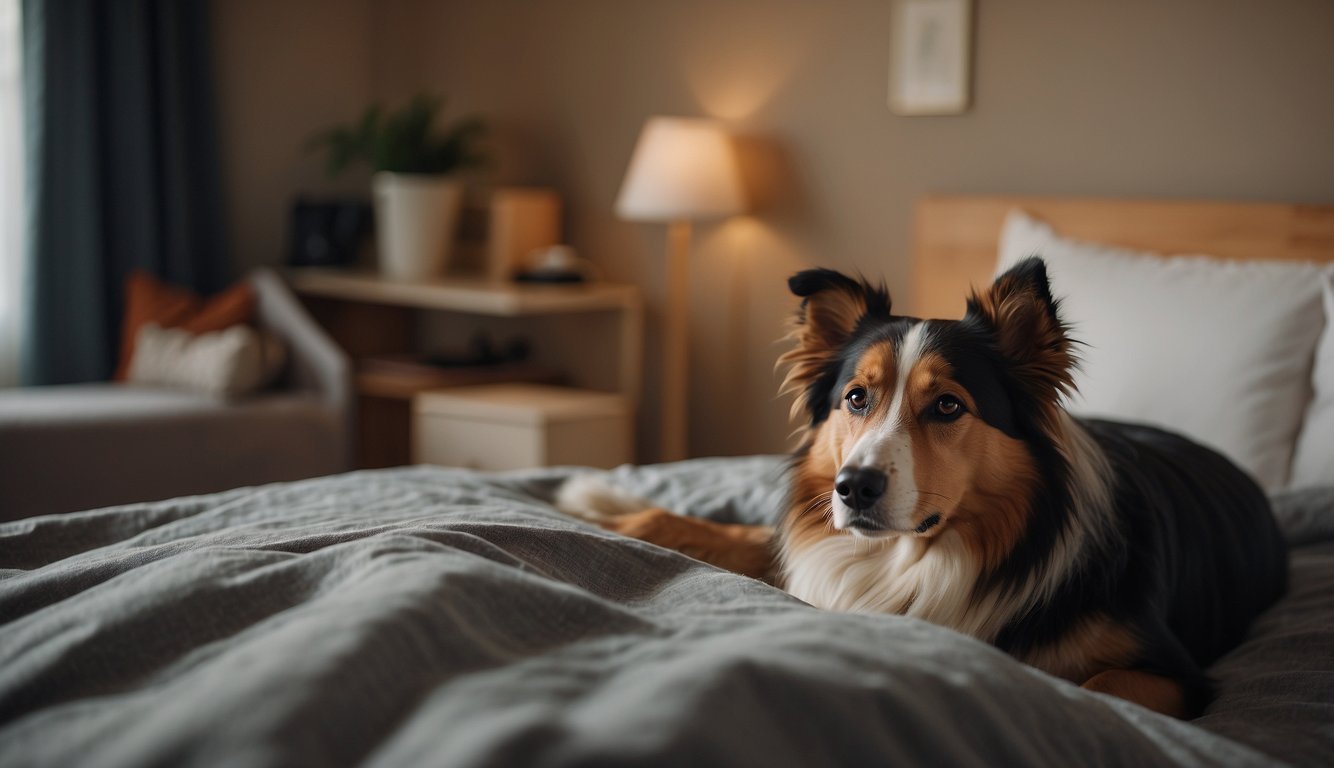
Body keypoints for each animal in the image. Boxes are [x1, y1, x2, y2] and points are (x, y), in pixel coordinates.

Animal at [568, 260, 1285, 720]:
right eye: (857, 397)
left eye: (947, 406)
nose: (852, 489)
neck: (917, 559)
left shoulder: (1179, 675)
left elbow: (1098, 688)